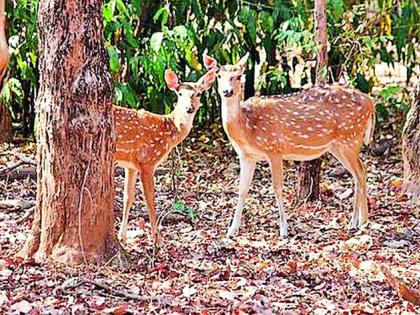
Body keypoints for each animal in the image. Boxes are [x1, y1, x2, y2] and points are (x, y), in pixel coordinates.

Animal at [114, 69, 215, 244]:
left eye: (198, 93)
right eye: (180, 93)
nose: (189, 107)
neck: (169, 130)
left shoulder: (131, 164)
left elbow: (128, 196)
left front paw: (123, 237)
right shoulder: (147, 161)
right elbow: (150, 199)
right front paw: (157, 239)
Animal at [205, 53, 376, 237]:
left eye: (238, 76)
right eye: (219, 75)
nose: (227, 91)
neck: (247, 128)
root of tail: (371, 102)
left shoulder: (274, 149)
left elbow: (277, 187)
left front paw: (284, 229)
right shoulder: (246, 156)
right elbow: (242, 189)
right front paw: (232, 230)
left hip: (350, 138)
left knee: (359, 172)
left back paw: (356, 222)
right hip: (338, 146)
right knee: (361, 170)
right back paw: (362, 220)